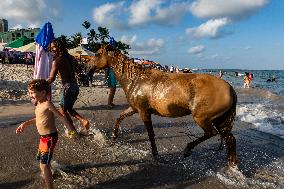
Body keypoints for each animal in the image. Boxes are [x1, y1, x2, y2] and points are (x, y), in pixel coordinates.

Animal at [88, 45, 237, 167]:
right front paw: (114, 135)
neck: (136, 79)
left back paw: (188, 150)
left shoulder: (143, 111)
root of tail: (230, 88)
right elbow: (120, 117)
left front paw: (155, 155)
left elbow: (150, 133)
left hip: (202, 118)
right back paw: (232, 165)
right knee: (230, 139)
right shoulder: (134, 109)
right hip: (219, 120)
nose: (86, 67)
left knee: (211, 133)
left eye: (97, 54)